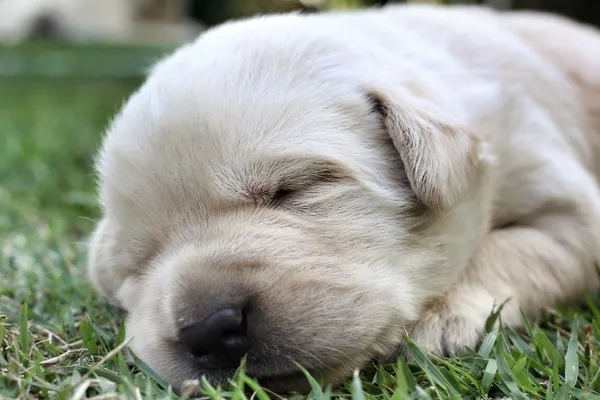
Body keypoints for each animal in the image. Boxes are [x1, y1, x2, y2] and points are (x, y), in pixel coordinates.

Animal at [86, 3, 600, 394]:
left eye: (292, 189)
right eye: (137, 263)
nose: (208, 330)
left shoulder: (564, 200)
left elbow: (514, 249)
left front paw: (439, 317)